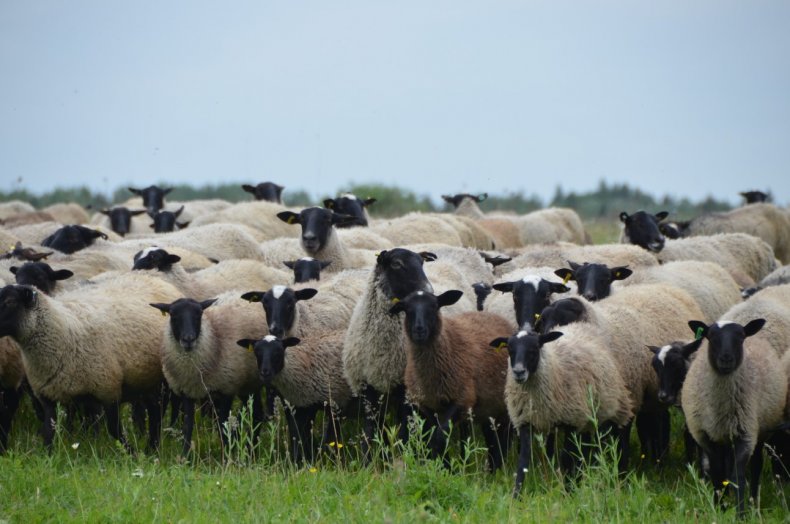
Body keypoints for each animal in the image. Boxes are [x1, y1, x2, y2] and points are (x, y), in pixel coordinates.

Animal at [0, 272, 183, 448]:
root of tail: (153, 278)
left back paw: (152, 446)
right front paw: (48, 455)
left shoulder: (108, 390)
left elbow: (114, 429)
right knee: (154, 409)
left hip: (163, 380)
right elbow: (48, 432)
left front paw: (131, 452)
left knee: (158, 412)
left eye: (10, 301)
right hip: (145, 382)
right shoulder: (48, 397)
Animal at [151, 292, 270, 456]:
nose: (188, 339)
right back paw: (250, 449)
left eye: (199, 314)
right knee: (257, 413)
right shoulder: (186, 391)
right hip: (247, 385)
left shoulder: (227, 389)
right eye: (173, 315)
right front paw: (184, 457)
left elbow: (222, 426)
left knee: (257, 414)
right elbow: (188, 427)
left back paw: (249, 450)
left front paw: (227, 455)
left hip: (249, 382)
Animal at [237, 332, 352, 462]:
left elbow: (305, 435)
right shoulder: (292, 405)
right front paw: (300, 459)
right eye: (256, 351)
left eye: (279, 351)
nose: (265, 372)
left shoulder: (312, 405)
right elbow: (296, 433)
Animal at [390, 288, 512, 472]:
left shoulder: (461, 398)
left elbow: (440, 437)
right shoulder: (427, 405)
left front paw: (448, 469)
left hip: (503, 404)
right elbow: (436, 436)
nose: (419, 330)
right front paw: (444, 467)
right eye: (406, 308)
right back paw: (492, 468)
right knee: (491, 435)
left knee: (503, 436)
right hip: (487, 407)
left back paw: (497, 468)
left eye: (434, 306)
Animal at [492, 328, 636, 496]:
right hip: (585, 422)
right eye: (509, 349)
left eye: (535, 348)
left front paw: (567, 492)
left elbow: (566, 459)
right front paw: (516, 496)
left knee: (619, 445)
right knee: (582, 452)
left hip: (613, 413)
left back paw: (621, 479)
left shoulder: (571, 422)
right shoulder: (525, 422)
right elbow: (523, 462)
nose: (519, 372)